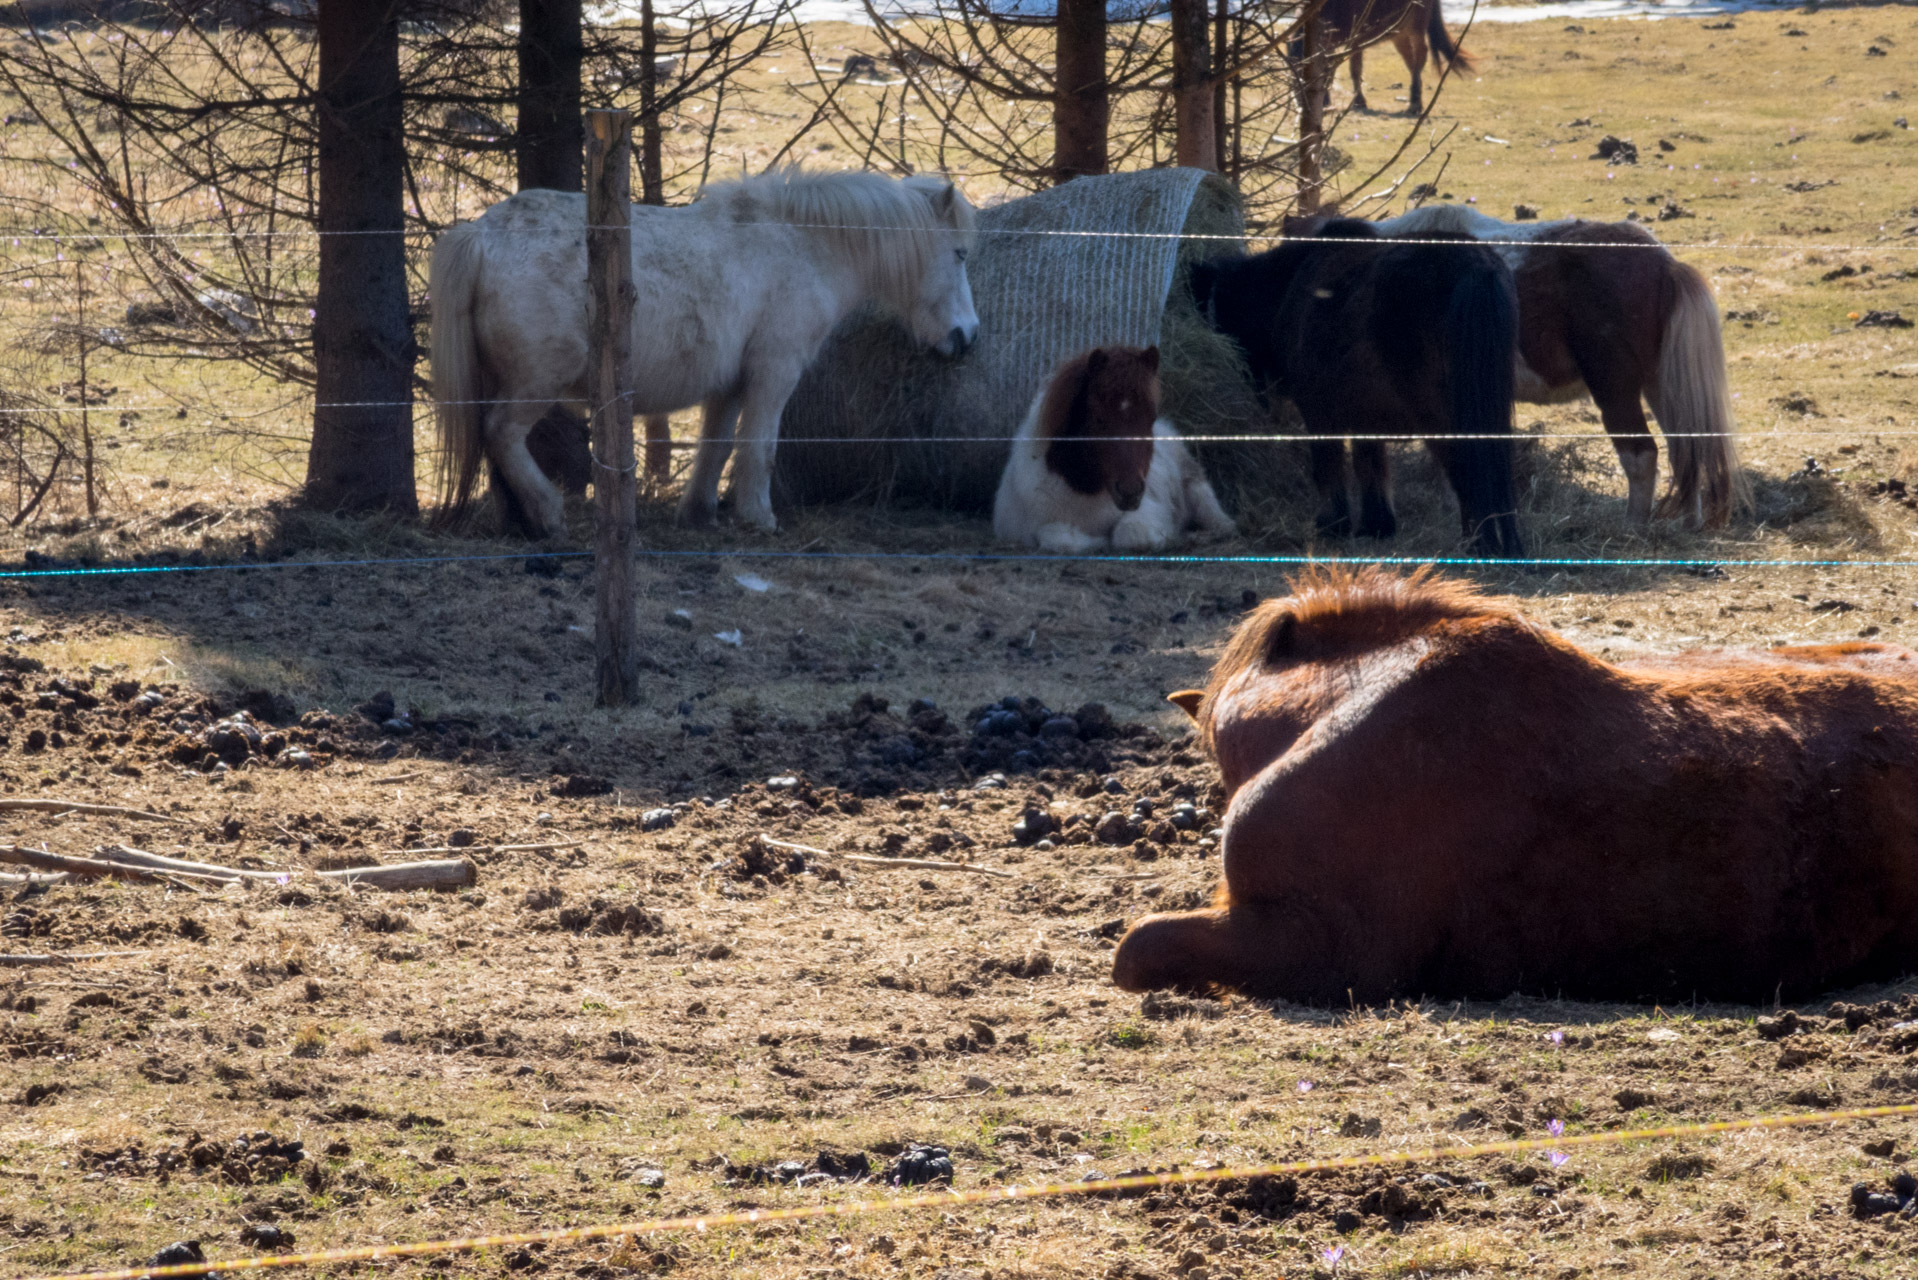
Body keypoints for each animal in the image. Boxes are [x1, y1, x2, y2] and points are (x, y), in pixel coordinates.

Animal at [429, 169, 982, 537]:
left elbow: (715, 448)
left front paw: (698, 513)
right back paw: (547, 513)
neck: (802, 244)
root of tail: (482, 234)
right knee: (502, 434)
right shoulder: (774, 373)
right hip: (536, 382)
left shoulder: (730, 385)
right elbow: (759, 448)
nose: (968, 337)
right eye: (959, 253)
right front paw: (759, 517)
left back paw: (519, 519)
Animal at [997, 347, 1235, 552]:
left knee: (1222, 524)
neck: (1082, 488)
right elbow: (1060, 539)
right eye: (1099, 419)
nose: (1130, 492)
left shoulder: (1149, 511)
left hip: (1196, 488)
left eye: (1151, 418)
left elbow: (1131, 534)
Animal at [1189, 217, 1519, 556]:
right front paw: (1377, 525)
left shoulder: (1318, 411)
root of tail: (1476, 266)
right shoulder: (1366, 414)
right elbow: (1369, 463)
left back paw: (1480, 545)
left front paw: (1333, 525)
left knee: (1467, 472)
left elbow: (1328, 465)